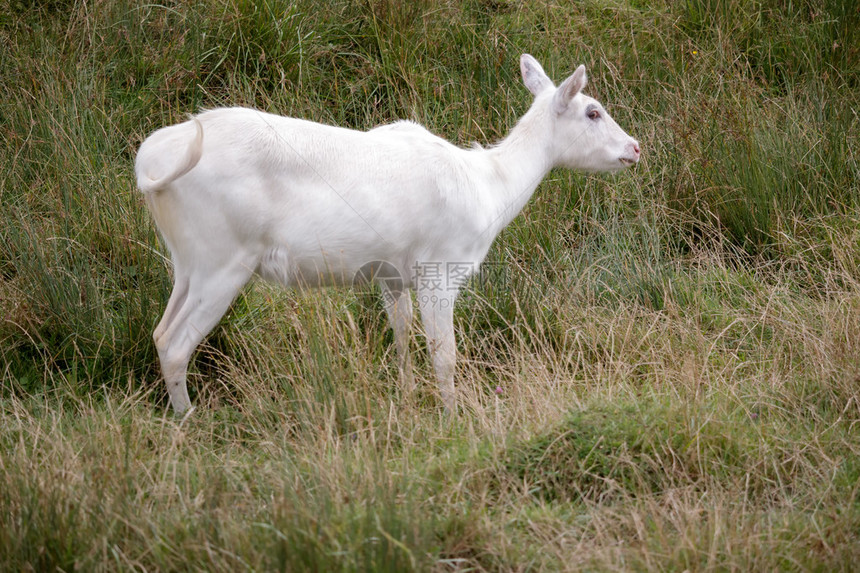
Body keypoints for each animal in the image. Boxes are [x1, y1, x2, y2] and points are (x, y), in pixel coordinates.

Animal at [136, 54, 640, 412]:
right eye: (593, 111)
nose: (635, 148)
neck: (490, 185)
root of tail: (150, 163)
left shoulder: (391, 275)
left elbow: (400, 335)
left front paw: (406, 395)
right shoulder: (441, 269)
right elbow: (444, 353)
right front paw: (452, 418)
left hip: (189, 262)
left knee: (160, 333)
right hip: (224, 260)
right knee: (177, 345)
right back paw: (190, 422)